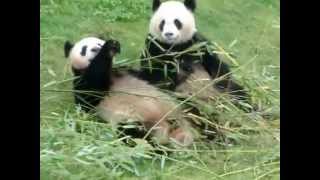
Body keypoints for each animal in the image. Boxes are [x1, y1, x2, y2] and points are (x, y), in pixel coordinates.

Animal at [63, 36, 198, 146]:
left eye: (99, 43)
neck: (111, 72)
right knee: (131, 133)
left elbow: (159, 78)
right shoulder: (81, 81)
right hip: (132, 121)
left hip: (179, 109)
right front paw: (109, 48)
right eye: (84, 49)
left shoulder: (130, 71)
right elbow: (90, 94)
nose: (96, 49)